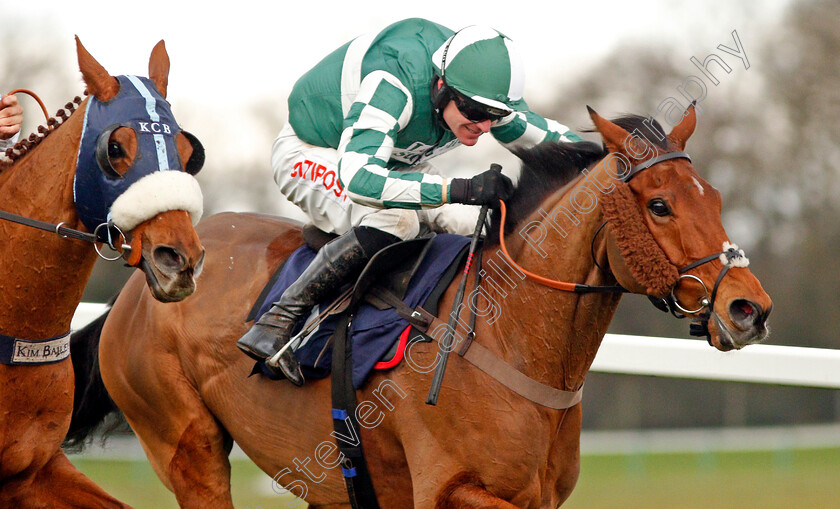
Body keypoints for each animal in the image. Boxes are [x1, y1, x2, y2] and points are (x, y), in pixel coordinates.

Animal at [72, 105, 768, 506]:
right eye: (660, 205)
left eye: (713, 195)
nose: (748, 309)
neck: (510, 340)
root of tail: (140, 286)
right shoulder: (453, 491)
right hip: (185, 443)